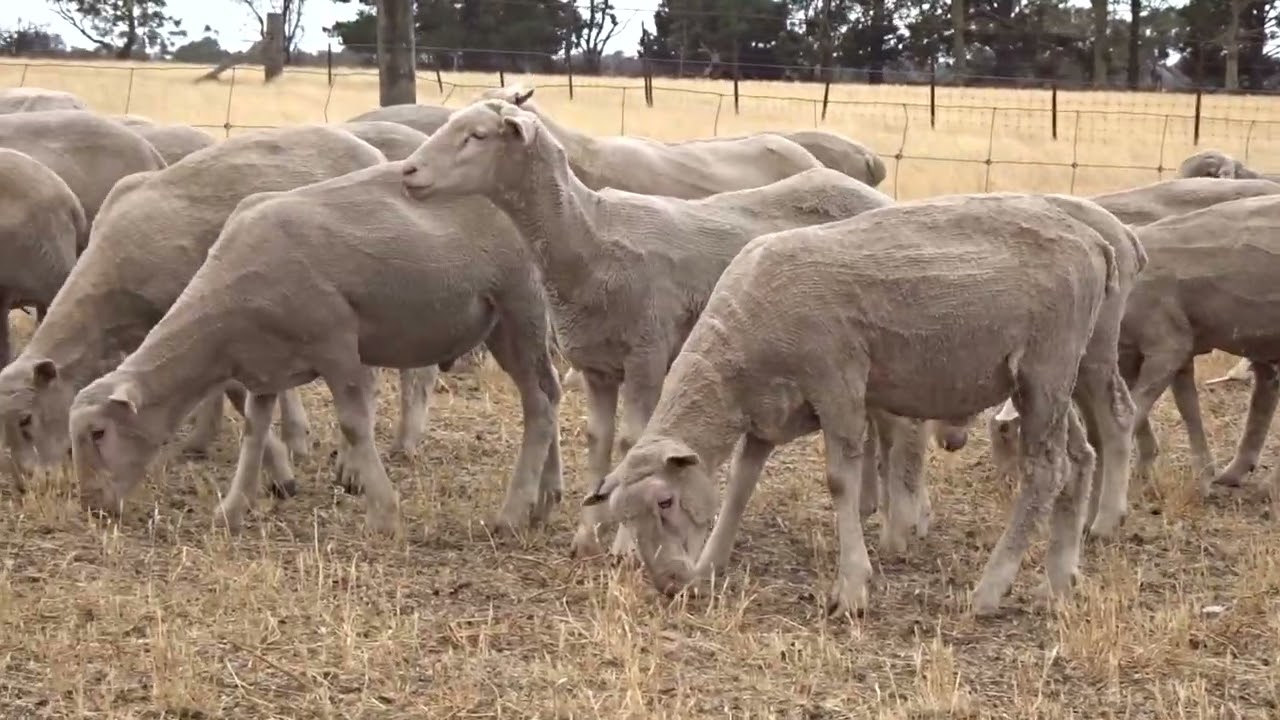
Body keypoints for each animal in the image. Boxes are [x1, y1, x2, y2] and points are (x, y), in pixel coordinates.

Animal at [67, 161, 562, 535]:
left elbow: (354, 426)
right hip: (501, 322)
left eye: (99, 432)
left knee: (539, 403)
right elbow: (253, 432)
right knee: (548, 393)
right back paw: (545, 499)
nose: (91, 505)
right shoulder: (264, 367)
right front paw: (231, 510)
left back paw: (511, 514)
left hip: (521, 302)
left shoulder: (336, 345)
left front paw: (384, 515)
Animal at [402, 98, 898, 558]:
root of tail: (871, 190)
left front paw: (623, 545)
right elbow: (598, 444)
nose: (408, 171)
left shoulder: (647, 356)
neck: (592, 240)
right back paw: (870, 502)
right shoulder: (597, 367)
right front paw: (586, 536)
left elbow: (631, 442)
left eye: (478, 135)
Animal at [581, 191, 1144, 618]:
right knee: (1079, 458)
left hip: (1046, 366)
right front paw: (708, 568)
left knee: (1047, 469)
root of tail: (1095, 242)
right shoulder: (768, 414)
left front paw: (852, 587)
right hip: (1063, 371)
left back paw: (991, 588)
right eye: (624, 515)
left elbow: (839, 482)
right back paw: (1057, 581)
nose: (668, 582)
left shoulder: (838, 385)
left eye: (664, 502)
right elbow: (740, 485)